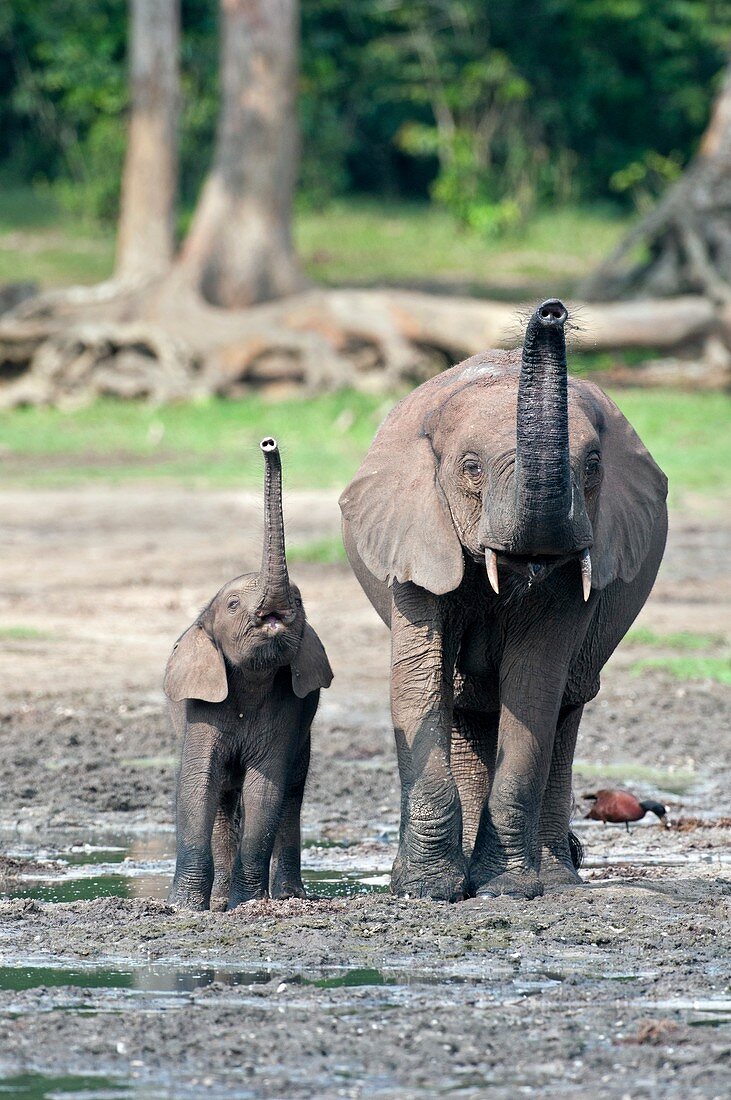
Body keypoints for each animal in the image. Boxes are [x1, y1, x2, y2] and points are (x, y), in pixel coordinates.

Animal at [163, 437, 331, 910]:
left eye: (300, 601)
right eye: (234, 605)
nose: (268, 443)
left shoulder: (288, 709)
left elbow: (265, 789)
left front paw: (249, 904)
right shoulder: (201, 706)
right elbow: (197, 784)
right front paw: (184, 907)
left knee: (290, 793)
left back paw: (287, 896)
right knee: (223, 795)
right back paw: (219, 901)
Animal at [338, 301, 663, 902]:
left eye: (593, 466)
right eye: (471, 466)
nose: (552, 312)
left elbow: (534, 684)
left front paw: (506, 888)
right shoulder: (415, 536)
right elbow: (417, 680)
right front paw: (424, 890)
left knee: (566, 704)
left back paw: (556, 876)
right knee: (465, 703)